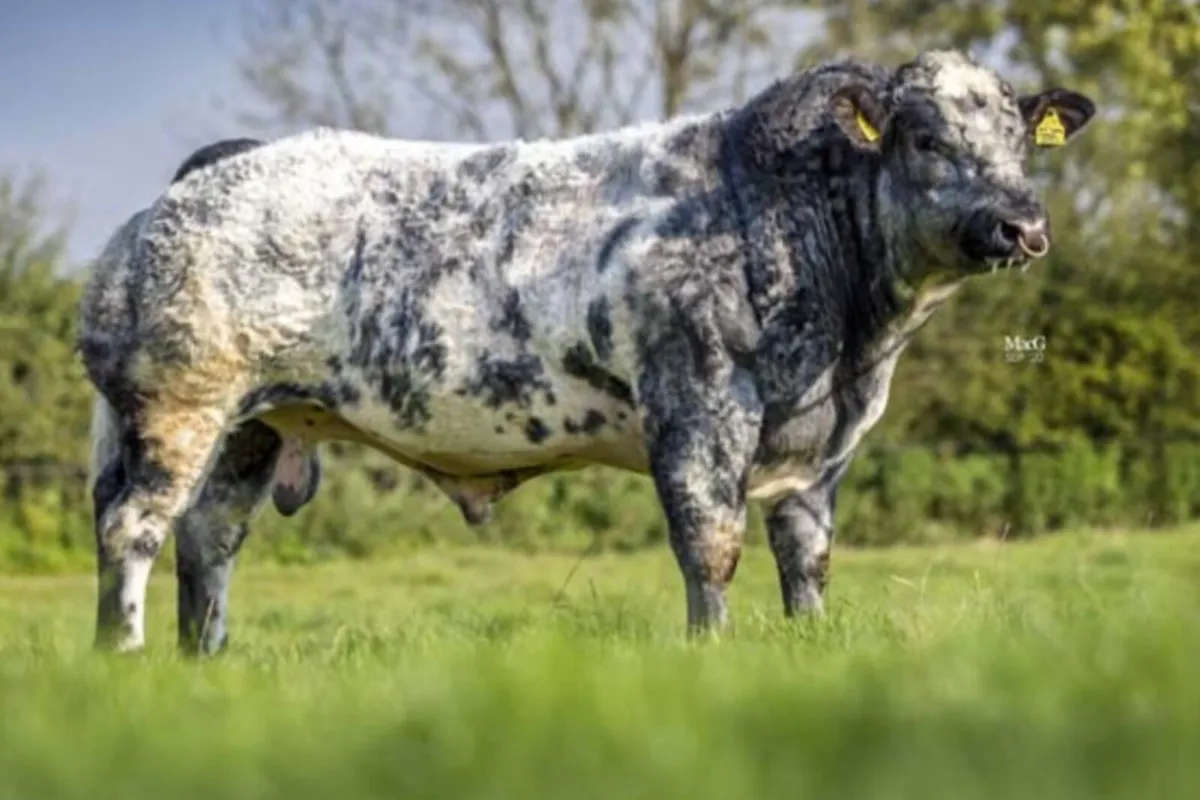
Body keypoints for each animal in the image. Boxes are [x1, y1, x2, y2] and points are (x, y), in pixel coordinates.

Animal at [79, 49, 1096, 654]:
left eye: (1021, 140)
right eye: (925, 137)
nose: (1023, 223)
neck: (852, 349)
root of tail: (215, 168)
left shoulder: (819, 454)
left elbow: (806, 560)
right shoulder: (698, 409)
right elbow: (710, 547)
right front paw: (711, 653)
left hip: (251, 428)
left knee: (209, 540)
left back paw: (202, 664)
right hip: (177, 406)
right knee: (134, 529)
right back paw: (124, 658)